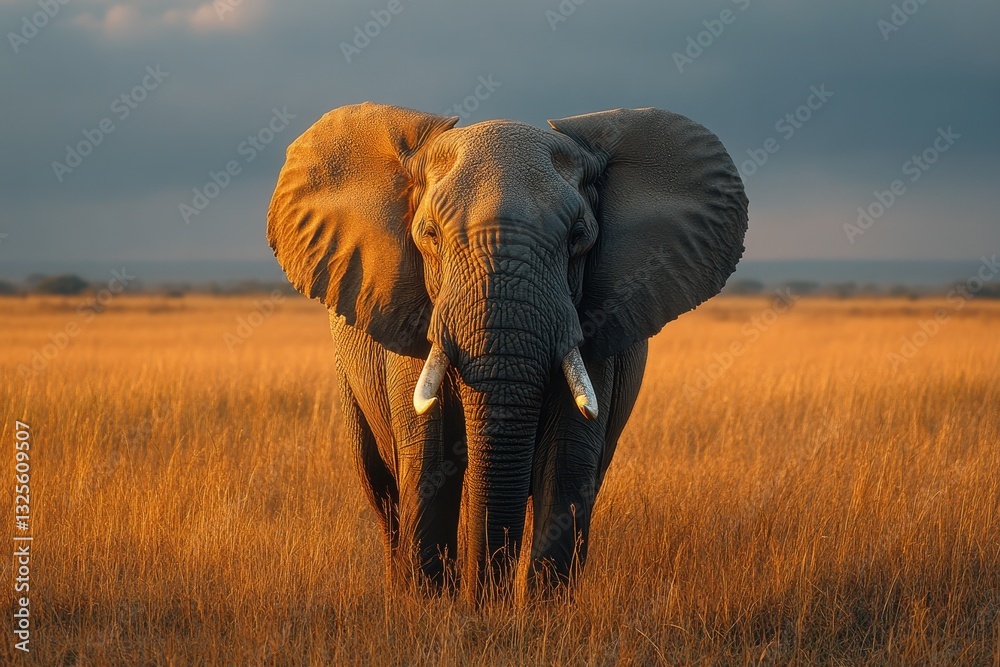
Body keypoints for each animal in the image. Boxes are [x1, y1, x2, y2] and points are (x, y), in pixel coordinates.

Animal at [266, 102, 748, 601]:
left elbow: (565, 465)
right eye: (430, 235)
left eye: (579, 236)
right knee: (383, 490)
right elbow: (429, 463)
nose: (483, 604)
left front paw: (537, 615)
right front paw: (432, 609)